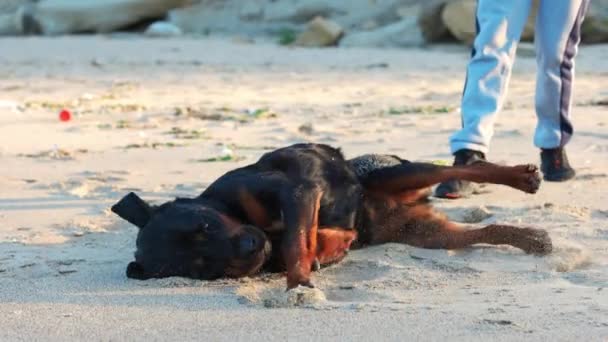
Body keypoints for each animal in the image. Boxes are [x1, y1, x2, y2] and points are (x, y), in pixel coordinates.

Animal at [113, 143, 552, 290]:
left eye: (205, 224)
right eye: (203, 267)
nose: (250, 246)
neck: (229, 208)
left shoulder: (298, 191)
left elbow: (295, 241)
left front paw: (299, 281)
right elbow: (304, 242)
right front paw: (323, 253)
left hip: (395, 172)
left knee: (463, 170)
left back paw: (522, 177)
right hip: (423, 231)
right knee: (481, 231)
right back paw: (532, 239)